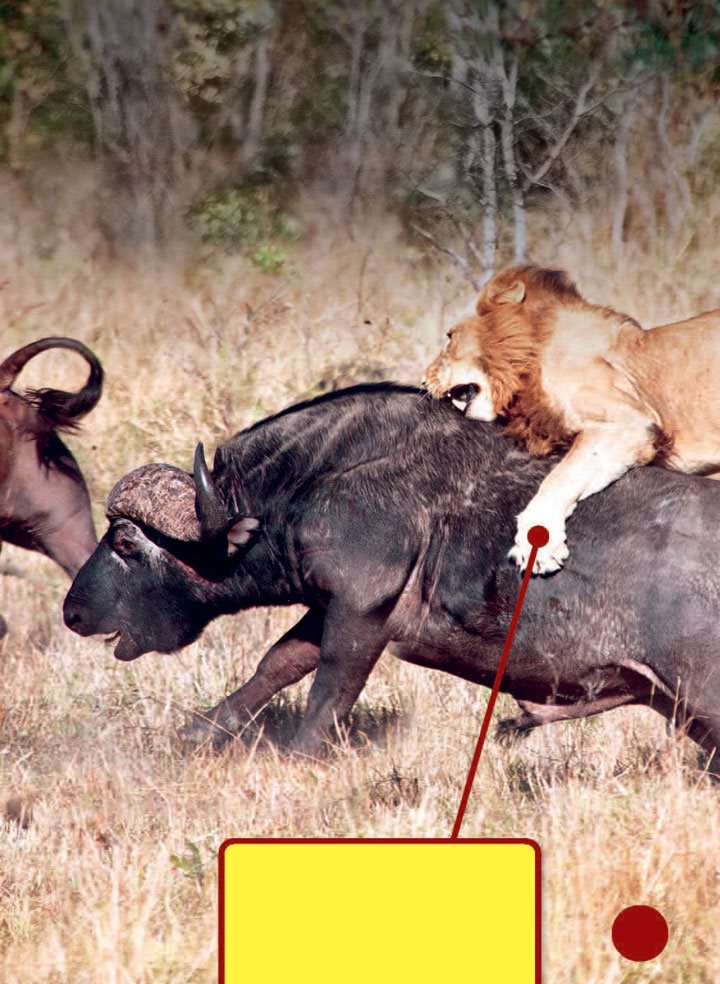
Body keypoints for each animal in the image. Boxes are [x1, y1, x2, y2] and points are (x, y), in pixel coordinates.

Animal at [63, 380, 720, 772]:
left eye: (125, 543)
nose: (72, 612)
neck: (315, 481)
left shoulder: (360, 616)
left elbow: (328, 693)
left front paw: (299, 757)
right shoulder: (327, 607)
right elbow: (277, 663)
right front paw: (201, 732)